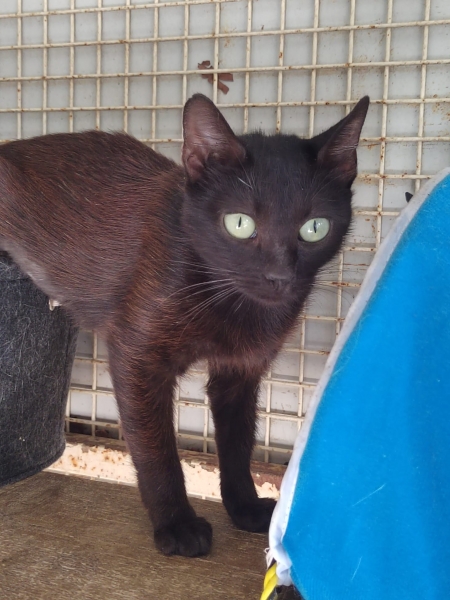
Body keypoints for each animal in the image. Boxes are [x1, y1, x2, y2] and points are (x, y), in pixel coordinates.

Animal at [0, 93, 369, 557]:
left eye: (315, 227)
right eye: (240, 223)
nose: (279, 277)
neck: (229, 301)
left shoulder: (240, 372)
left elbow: (237, 443)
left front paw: (245, 508)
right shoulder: (137, 357)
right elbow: (156, 448)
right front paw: (177, 525)